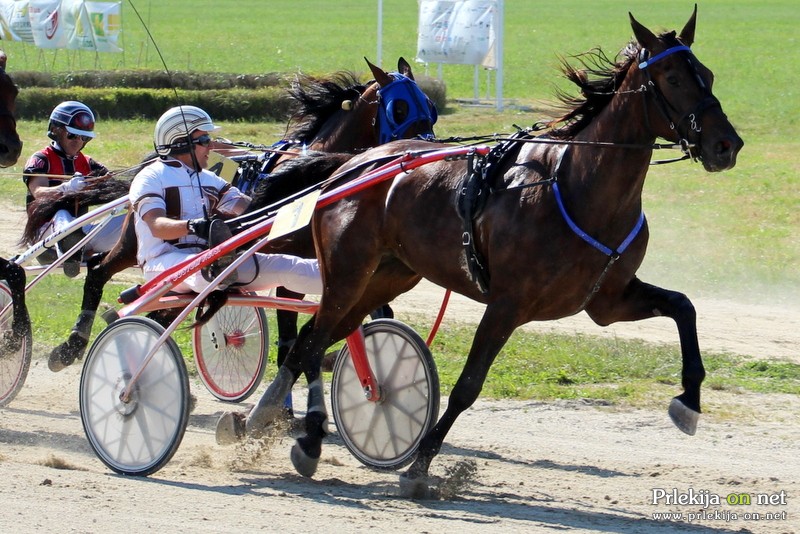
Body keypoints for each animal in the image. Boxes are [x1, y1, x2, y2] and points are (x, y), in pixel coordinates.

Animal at [45, 57, 438, 372]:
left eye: (430, 106)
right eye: (399, 109)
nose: (424, 149)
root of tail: (155, 157)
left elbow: (373, 309)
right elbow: (292, 330)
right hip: (134, 241)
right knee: (99, 271)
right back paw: (73, 344)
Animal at [236, 6, 744, 498]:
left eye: (708, 74)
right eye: (673, 78)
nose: (727, 144)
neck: (577, 187)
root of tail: (355, 164)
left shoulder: (607, 301)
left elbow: (683, 307)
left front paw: (689, 402)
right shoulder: (507, 304)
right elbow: (467, 386)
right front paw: (419, 466)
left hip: (385, 276)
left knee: (316, 339)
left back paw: (293, 430)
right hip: (347, 271)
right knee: (310, 341)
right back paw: (285, 426)